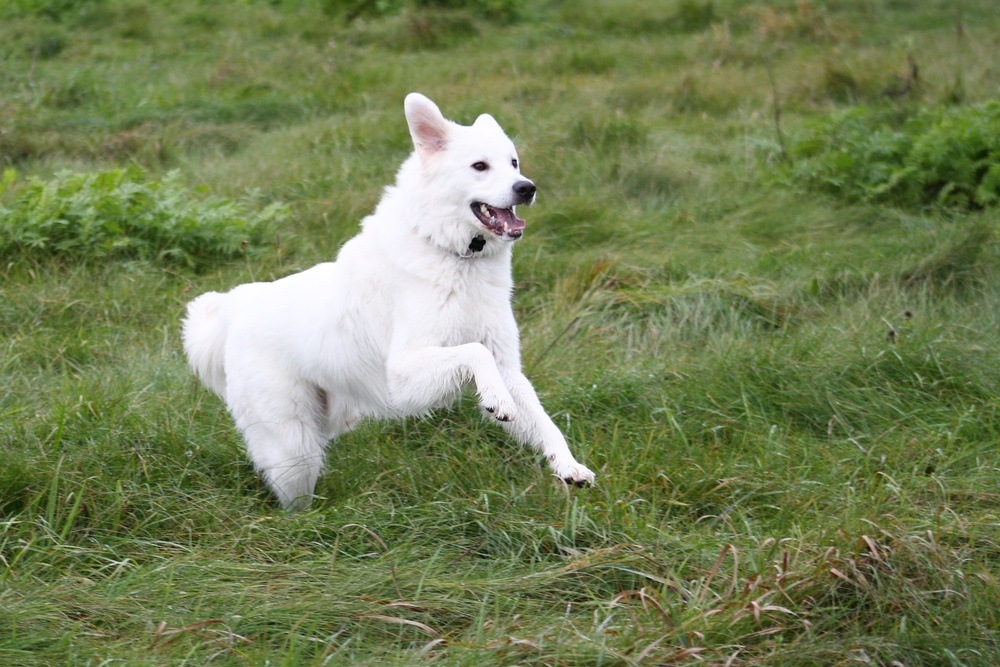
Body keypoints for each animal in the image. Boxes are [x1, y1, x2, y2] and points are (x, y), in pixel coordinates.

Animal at [182, 94, 592, 508]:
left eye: (513, 163)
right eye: (480, 166)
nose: (527, 188)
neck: (452, 253)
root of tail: (233, 310)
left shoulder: (507, 366)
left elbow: (543, 420)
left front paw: (568, 466)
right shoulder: (404, 375)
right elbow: (475, 353)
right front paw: (498, 400)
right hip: (293, 446)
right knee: (292, 497)